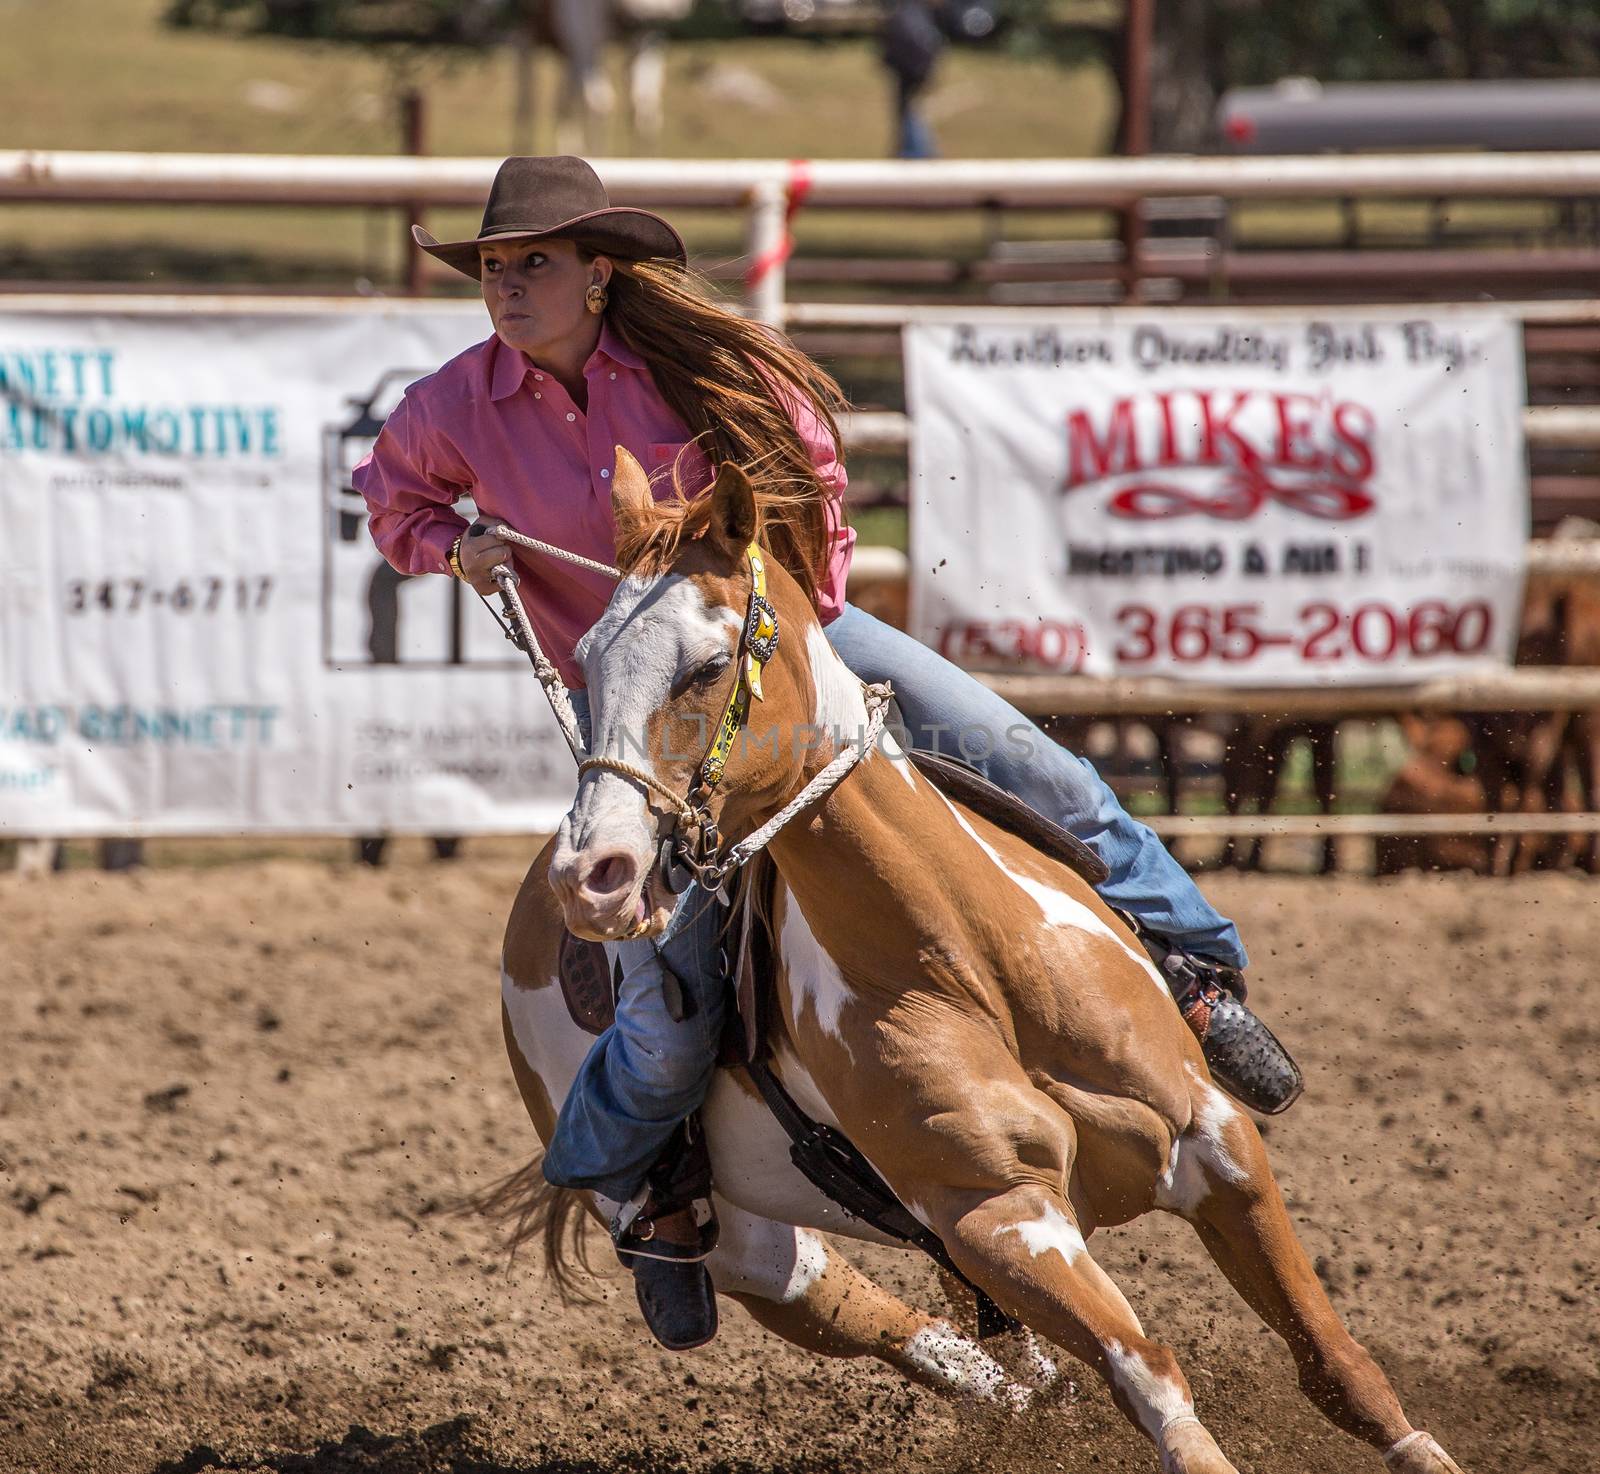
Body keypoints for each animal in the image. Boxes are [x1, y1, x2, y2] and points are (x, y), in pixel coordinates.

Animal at [499, 451, 1465, 1472]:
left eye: (709, 665)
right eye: (587, 662)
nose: (593, 876)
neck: (968, 953)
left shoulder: (1216, 1137)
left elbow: (1330, 1355)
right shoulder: (998, 1216)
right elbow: (1153, 1376)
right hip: (756, 1250)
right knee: (869, 1315)